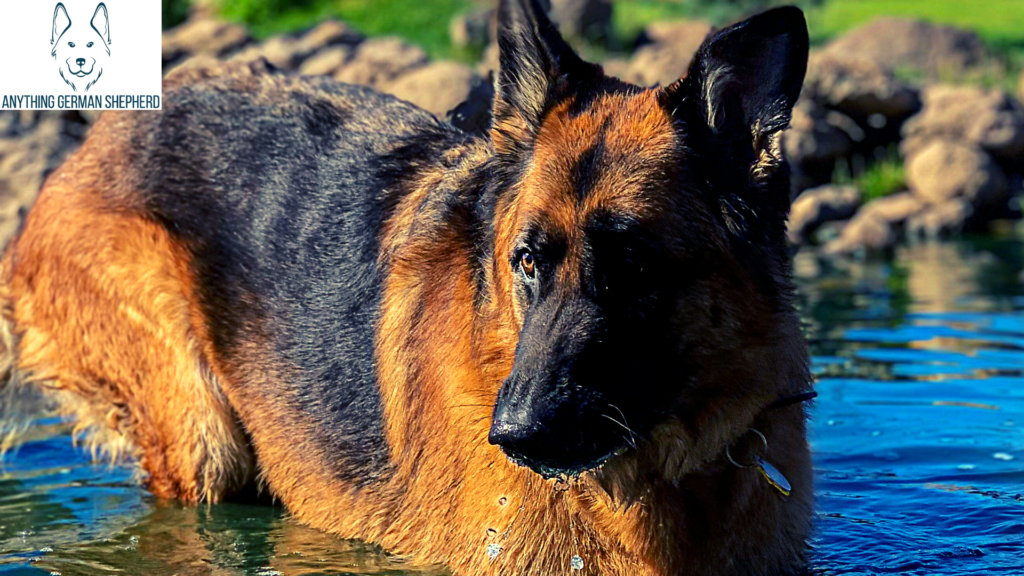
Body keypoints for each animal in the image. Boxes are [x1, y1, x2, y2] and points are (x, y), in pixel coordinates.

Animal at [2, 2, 815, 569]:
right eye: (526, 261)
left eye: (635, 264)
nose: (513, 435)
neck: (664, 480)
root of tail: (93, 139)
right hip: (199, 432)